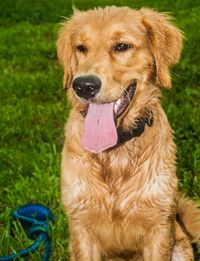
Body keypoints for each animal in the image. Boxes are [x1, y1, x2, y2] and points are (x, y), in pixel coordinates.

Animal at [56, 6, 200, 260]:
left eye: (122, 46)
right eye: (81, 47)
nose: (83, 86)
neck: (115, 153)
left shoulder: (159, 226)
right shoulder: (81, 226)